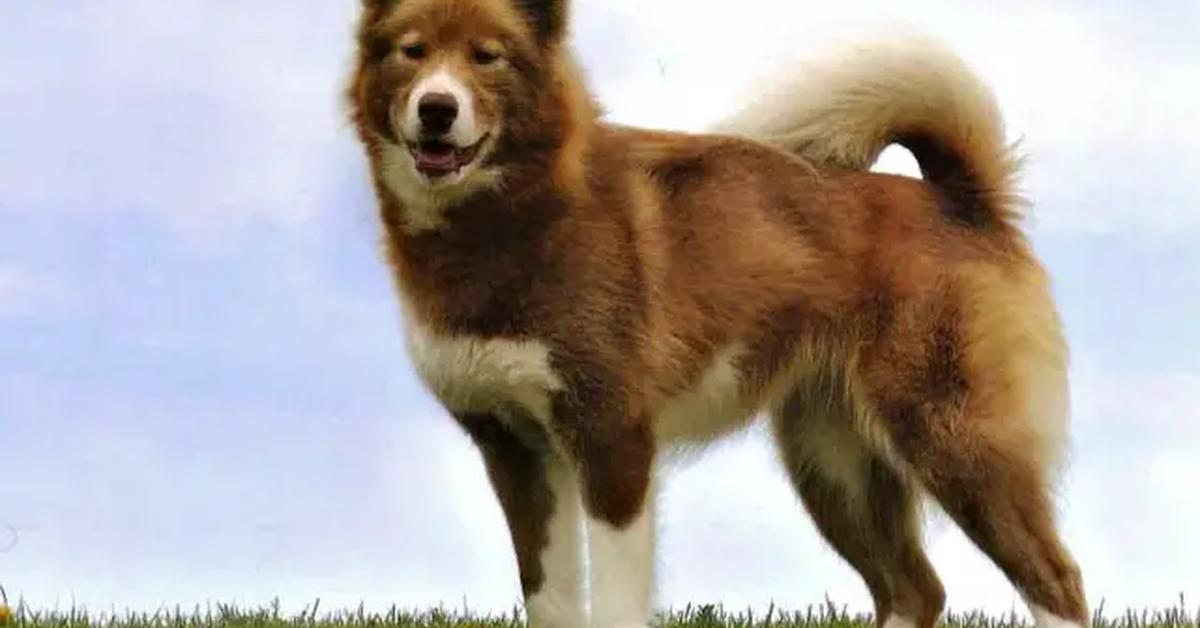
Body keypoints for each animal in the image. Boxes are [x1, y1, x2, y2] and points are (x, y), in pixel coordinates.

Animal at [345, 1, 1089, 628]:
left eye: (487, 56)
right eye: (412, 51)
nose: (436, 109)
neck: (514, 219)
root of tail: (962, 202)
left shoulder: (612, 444)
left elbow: (614, 600)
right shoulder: (517, 452)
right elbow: (549, 598)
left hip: (952, 440)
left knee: (1056, 579)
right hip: (834, 463)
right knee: (914, 589)